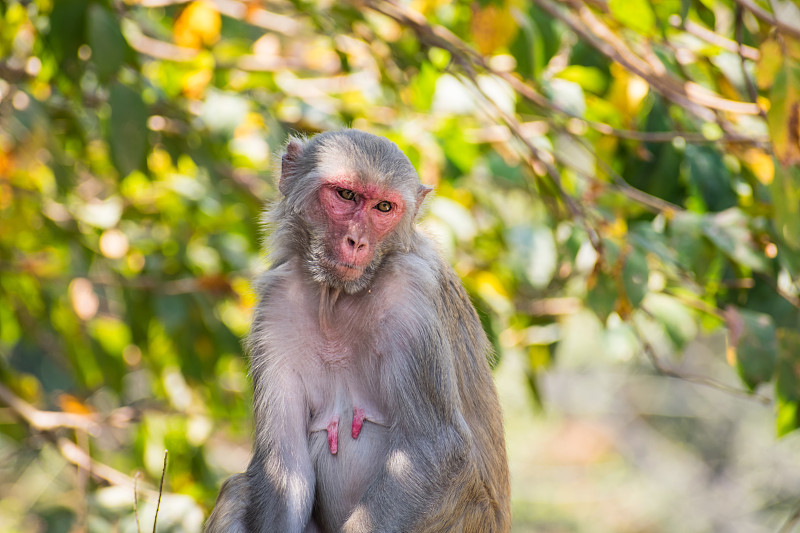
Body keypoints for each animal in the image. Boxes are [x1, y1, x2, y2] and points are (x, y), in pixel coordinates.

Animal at [205, 130, 506, 532]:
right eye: (346, 195)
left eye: (384, 207)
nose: (357, 241)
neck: (337, 296)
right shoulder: (276, 305)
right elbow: (285, 466)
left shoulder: (410, 294)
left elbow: (434, 446)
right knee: (239, 489)